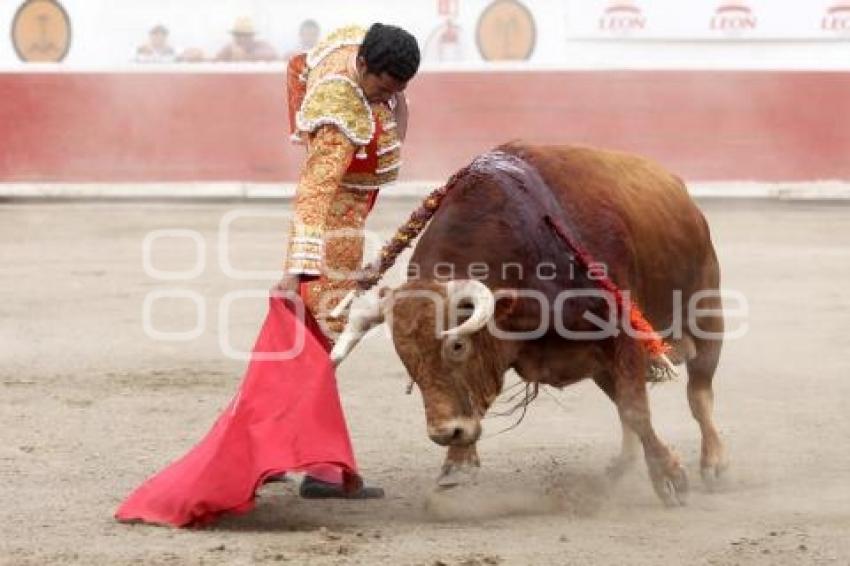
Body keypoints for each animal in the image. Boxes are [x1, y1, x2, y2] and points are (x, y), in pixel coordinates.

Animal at [332, 144, 724, 508]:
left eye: (458, 345)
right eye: (404, 354)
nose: (445, 433)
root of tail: (679, 189)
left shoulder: (623, 334)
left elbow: (636, 407)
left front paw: (669, 477)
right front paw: (456, 470)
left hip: (706, 311)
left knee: (698, 392)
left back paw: (714, 465)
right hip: (603, 364)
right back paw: (622, 467)